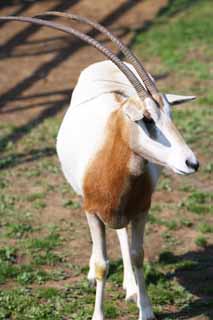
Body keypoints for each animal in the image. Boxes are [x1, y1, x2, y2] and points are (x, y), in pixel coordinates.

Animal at [0, 12, 200, 320]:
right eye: (147, 119)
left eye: (170, 115)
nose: (191, 162)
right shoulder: (92, 211)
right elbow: (103, 265)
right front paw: (98, 313)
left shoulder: (140, 210)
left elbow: (137, 255)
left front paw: (145, 310)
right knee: (102, 250)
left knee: (121, 235)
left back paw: (131, 287)